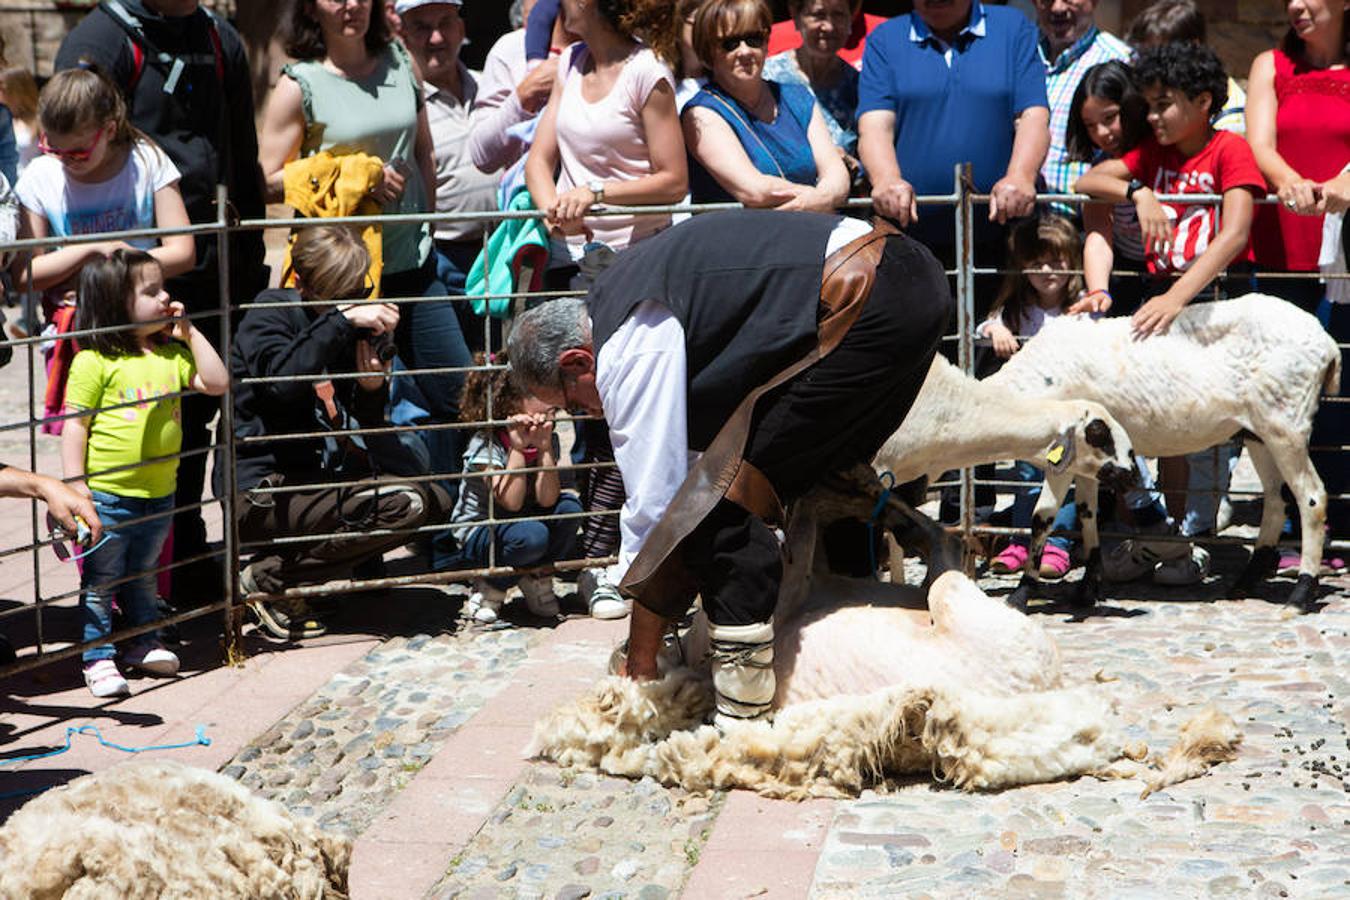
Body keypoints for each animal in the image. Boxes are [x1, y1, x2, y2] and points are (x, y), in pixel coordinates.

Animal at [988, 295, 1344, 612]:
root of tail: (1328, 345)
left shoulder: (1064, 455)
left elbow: (1042, 517)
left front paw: (1020, 596)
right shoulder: (1090, 461)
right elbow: (1087, 513)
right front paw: (1087, 589)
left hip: (1287, 423)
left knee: (1311, 498)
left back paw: (1300, 594)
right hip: (1259, 433)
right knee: (1276, 501)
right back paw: (1243, 584)